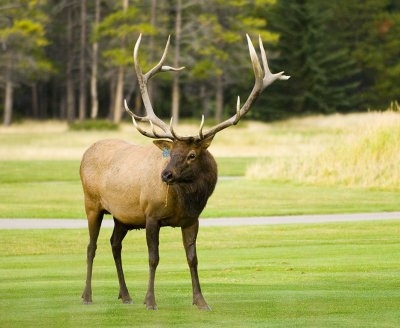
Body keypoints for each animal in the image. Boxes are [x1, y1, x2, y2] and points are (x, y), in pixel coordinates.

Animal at [80, 33, 288, 310]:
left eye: (191, 155)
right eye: (171, 152)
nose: (165, 175)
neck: (185, 200)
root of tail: (87, 151)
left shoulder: (192, 219)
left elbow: (193, 258)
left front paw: (201, 301)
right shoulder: (151, 215)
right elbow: (153, 258)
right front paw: (150, 301)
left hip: (122, 216)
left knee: (115, 245)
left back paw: (125, 295)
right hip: (92, 203)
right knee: (91, 246)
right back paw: (87, 296)